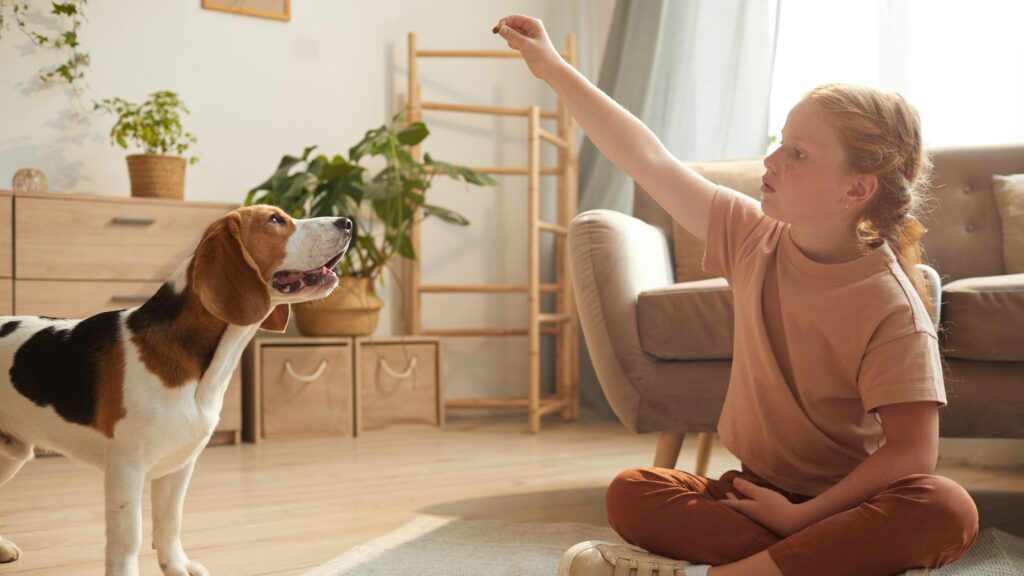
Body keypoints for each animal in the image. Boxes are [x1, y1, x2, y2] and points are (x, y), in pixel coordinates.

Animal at [0, 204, 352, 573]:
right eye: (275, 220)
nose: (347, 222)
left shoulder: (180, 464)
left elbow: (170, 522)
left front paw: (176, 566)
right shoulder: (126, 466)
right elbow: (129, 538)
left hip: (10, 455)